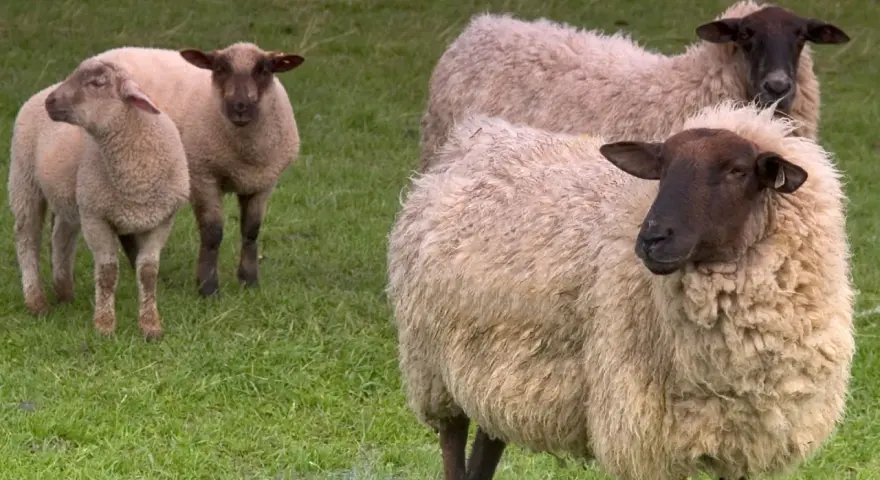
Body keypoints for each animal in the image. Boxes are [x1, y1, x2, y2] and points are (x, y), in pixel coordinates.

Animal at [8, 57, 190, 340]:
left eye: (97, 83)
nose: (51, 102)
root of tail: (39, 92)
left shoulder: (161, 221)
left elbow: (148, 272)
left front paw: (151, 326)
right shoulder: (96, 217)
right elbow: (107, 273)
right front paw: (104, 326)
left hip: (70, 197)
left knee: (61, 238)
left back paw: (64, 292)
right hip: (24, 178)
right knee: (27, 238)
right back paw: (36, 302)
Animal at [88, 42, 303, 296]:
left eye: (264, 70)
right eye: (219, 69)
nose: (240, 107)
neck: (245, 154)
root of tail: (103, 55)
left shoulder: (264, 182)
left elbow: (251, 230)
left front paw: (249, 281)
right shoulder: (203, 176)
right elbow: (212, 233)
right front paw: (208, 288)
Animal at [387, 100, 854, 480]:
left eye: (737, 171)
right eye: (662, 169)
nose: (652, 238)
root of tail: (474, 138)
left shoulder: (742, 446)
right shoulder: (643, 438)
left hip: (495, 374)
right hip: (433, 369)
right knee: (452, 443)